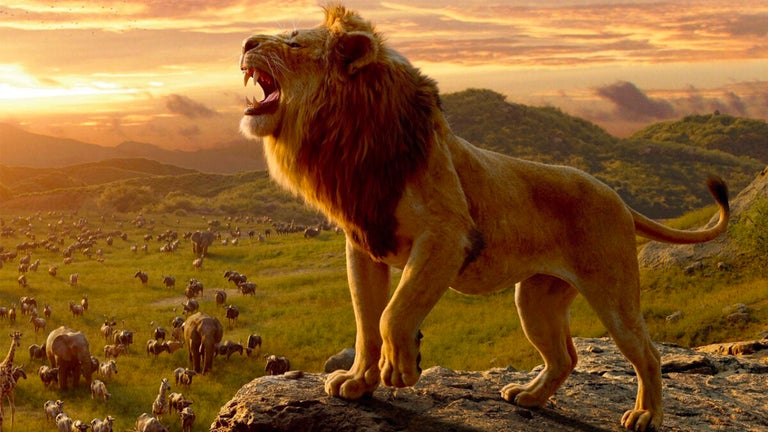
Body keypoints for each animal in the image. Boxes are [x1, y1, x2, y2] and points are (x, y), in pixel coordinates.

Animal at [238, 4, 729, 431]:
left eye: (294, 43)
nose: (245, 42)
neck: (348, 140)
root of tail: (619, 198)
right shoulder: (363, 244)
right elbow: (365, 322)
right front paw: (358, 383)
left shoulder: (447, 236)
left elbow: (393, 313)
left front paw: (401, 370)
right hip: (536, 299)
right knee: (565, 356)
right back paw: (528, 397)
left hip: (613, 292)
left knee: (647, 352)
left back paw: (645, 415)